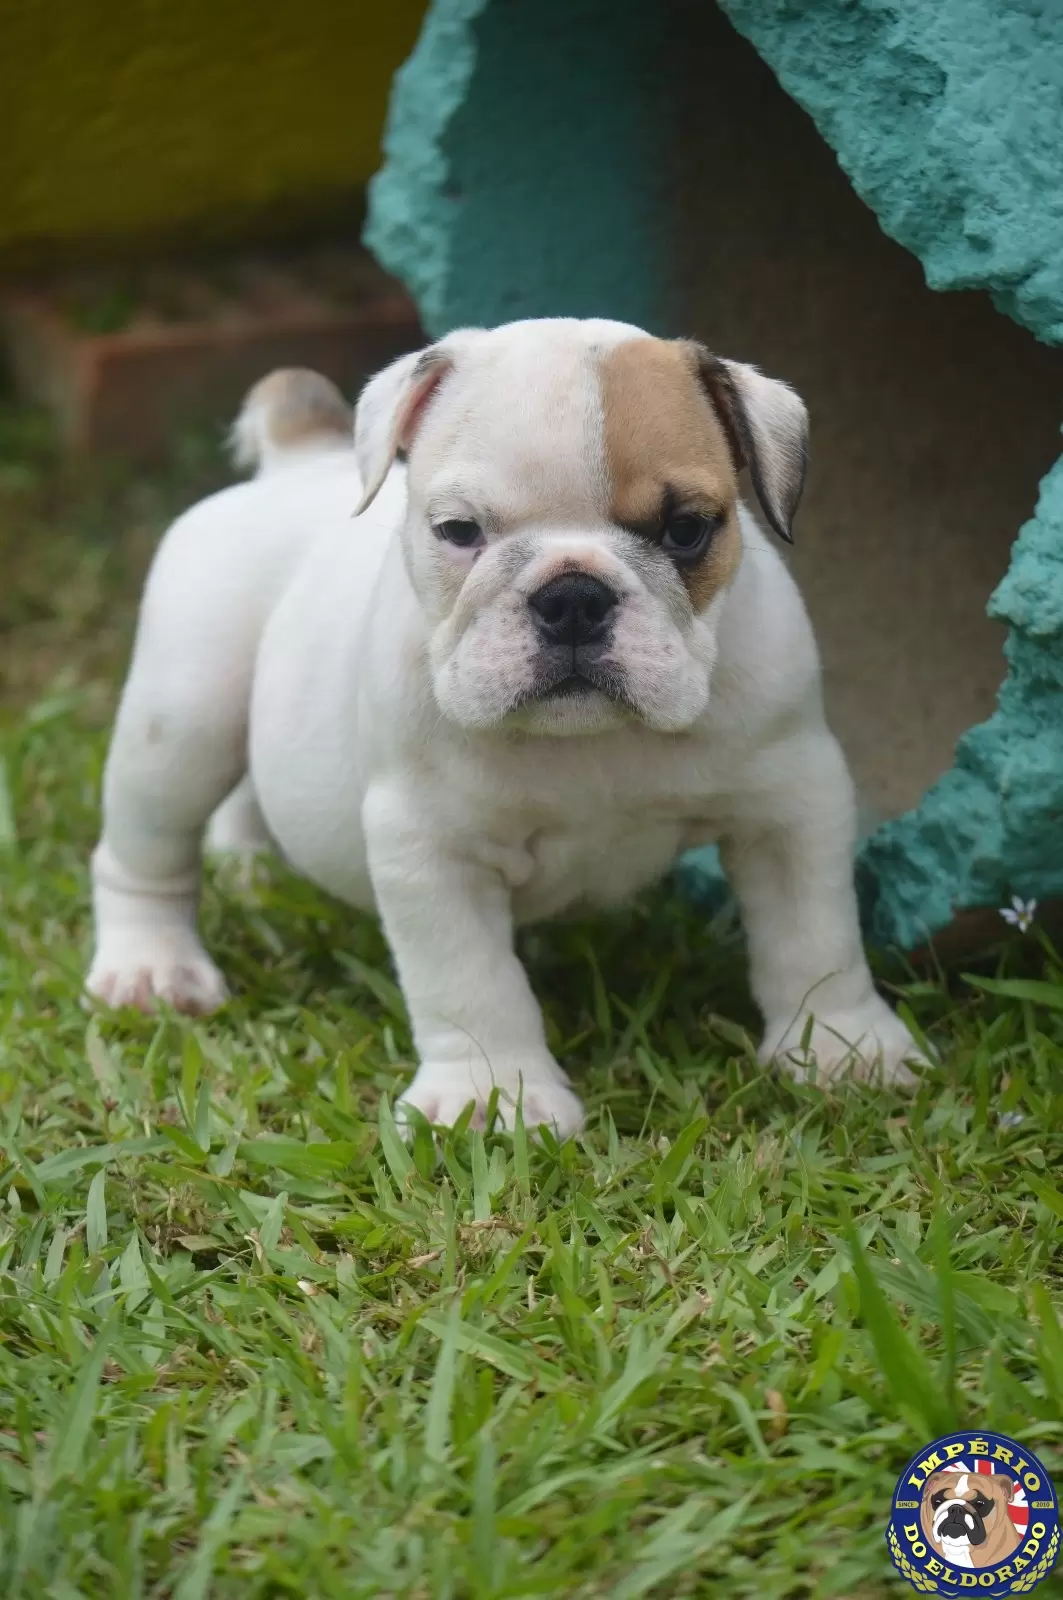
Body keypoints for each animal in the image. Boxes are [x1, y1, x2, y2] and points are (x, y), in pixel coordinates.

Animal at [89, 318, 922, 1132]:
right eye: (459, 530)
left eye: (686, 529)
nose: (573, 597)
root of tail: (296, 461)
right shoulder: (434, 849)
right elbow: (472, 981)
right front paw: (491, 1096)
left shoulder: (789, 804)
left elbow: (814, 936)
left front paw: (844, 1047)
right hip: (183, 720)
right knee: (143, 853)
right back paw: (152, 968)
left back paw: (248, 865)